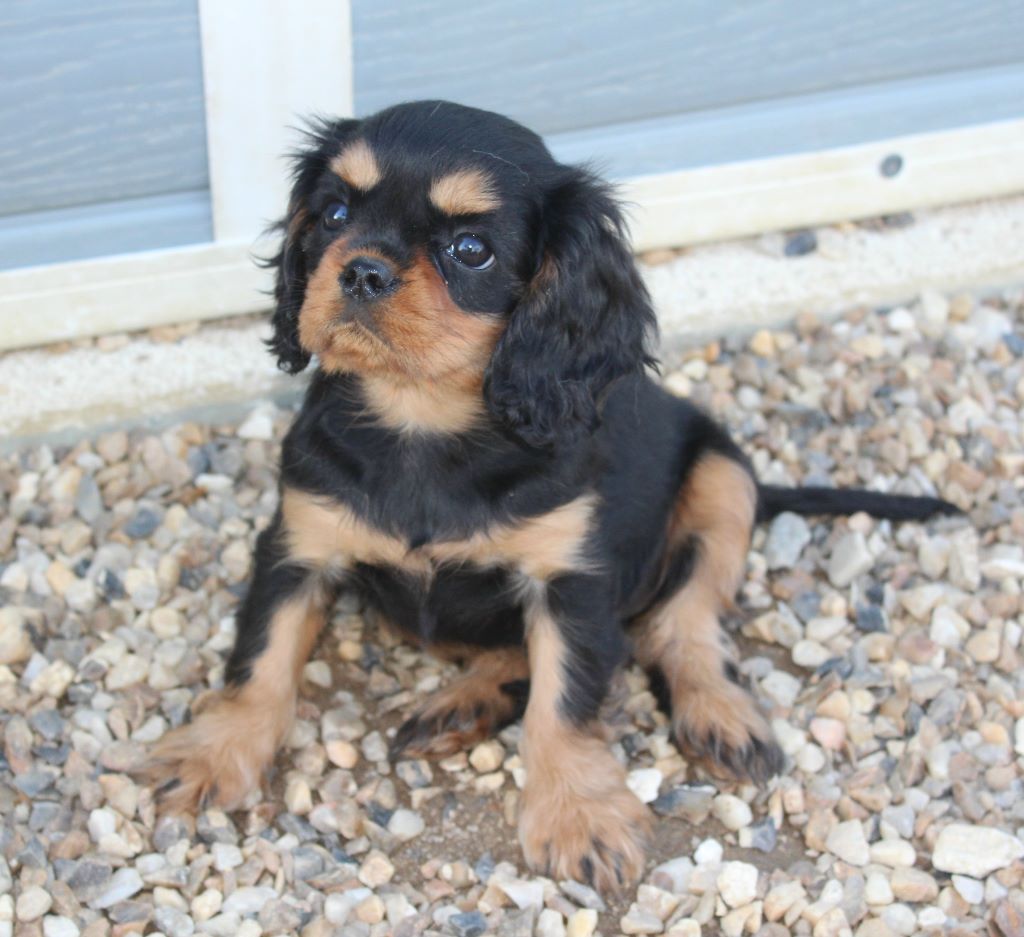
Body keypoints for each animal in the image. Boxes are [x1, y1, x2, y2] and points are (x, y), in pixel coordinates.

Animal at [147, 100, 957, 892]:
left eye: (471, 249)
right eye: (335, 213)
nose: (362, 272)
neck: (421, 421)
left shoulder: (572, 579)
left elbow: (564, 699)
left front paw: (577, 813)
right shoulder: (296, 544)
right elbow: (261, 659)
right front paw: (215, 752)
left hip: (724, 479)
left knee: (682, 625)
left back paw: (719, 712)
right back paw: (463, 703)